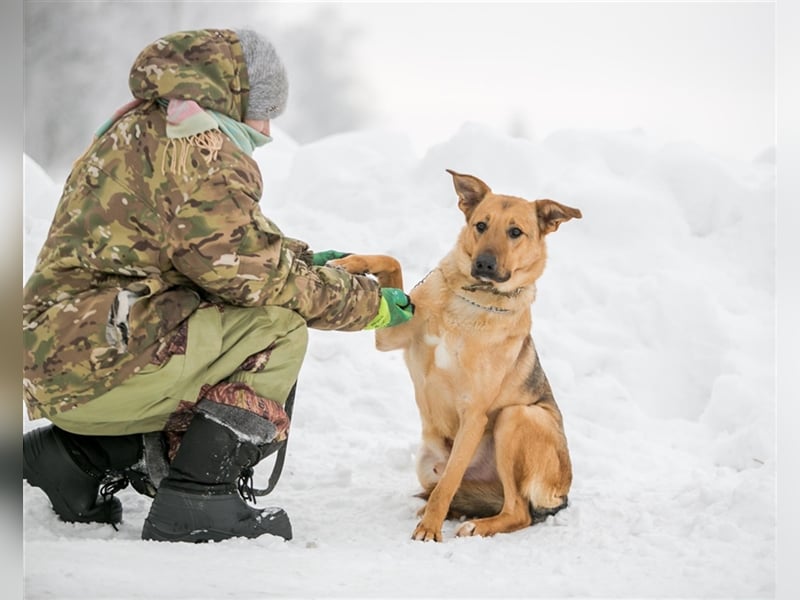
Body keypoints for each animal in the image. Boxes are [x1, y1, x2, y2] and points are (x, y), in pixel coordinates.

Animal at [332, 170, 580, 544]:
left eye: (515, 232)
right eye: (481, 225)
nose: (484, 263)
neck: (471, 301)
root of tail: (563, 494)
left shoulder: (474, 414)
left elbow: (448, 484)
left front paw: (430, 530)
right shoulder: (391, 336)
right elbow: (392, 262)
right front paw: (350, 261)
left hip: (517, 417)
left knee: (517, 510)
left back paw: (476, 524)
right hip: (426, 461)